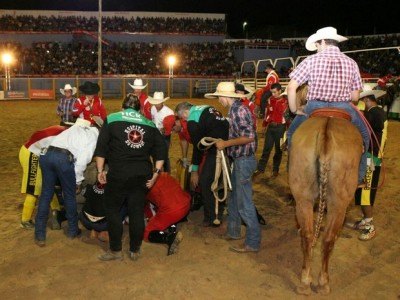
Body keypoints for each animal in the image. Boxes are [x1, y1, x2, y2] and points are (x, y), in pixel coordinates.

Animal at [290, 109, 364, 294]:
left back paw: (305, 281)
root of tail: (326, 134)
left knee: (308, 235)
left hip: (304, 198)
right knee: (328, 239)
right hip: (339, 204)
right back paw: (323, 282)